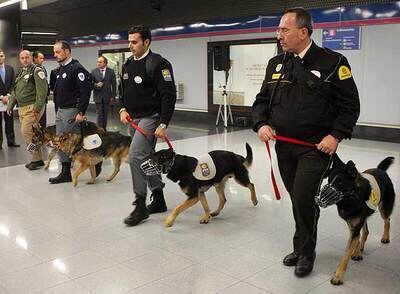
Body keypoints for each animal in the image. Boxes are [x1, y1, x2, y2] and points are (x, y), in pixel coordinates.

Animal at [322, 155, 396, 286]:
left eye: (340, 182)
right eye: (329, 181)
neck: (351, 199)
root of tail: (380, 169)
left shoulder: (355, 225)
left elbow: (346, 254)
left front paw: (338, 276)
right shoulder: (352, 224)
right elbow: (356, 238)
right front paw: (356, 251)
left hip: (384, 208)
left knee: (387, 220)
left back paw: (385, 237)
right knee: (365, 231)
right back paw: (359, 249)